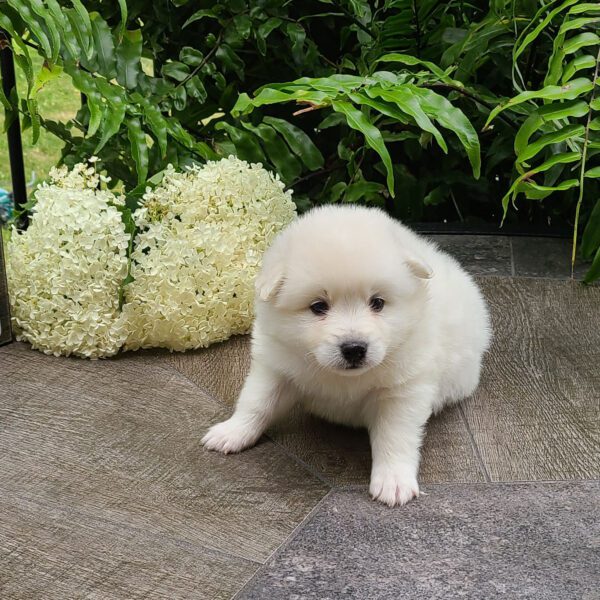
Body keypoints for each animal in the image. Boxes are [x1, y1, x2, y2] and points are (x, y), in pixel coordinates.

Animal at [203, 206, 492, 506]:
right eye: (318, 306)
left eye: (377, 303)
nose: (354, 348)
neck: (343, 378)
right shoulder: (276, 366)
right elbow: (256, 402)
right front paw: (232, 432)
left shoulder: (403, 389)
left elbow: (395, 435)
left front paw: (394, 481)